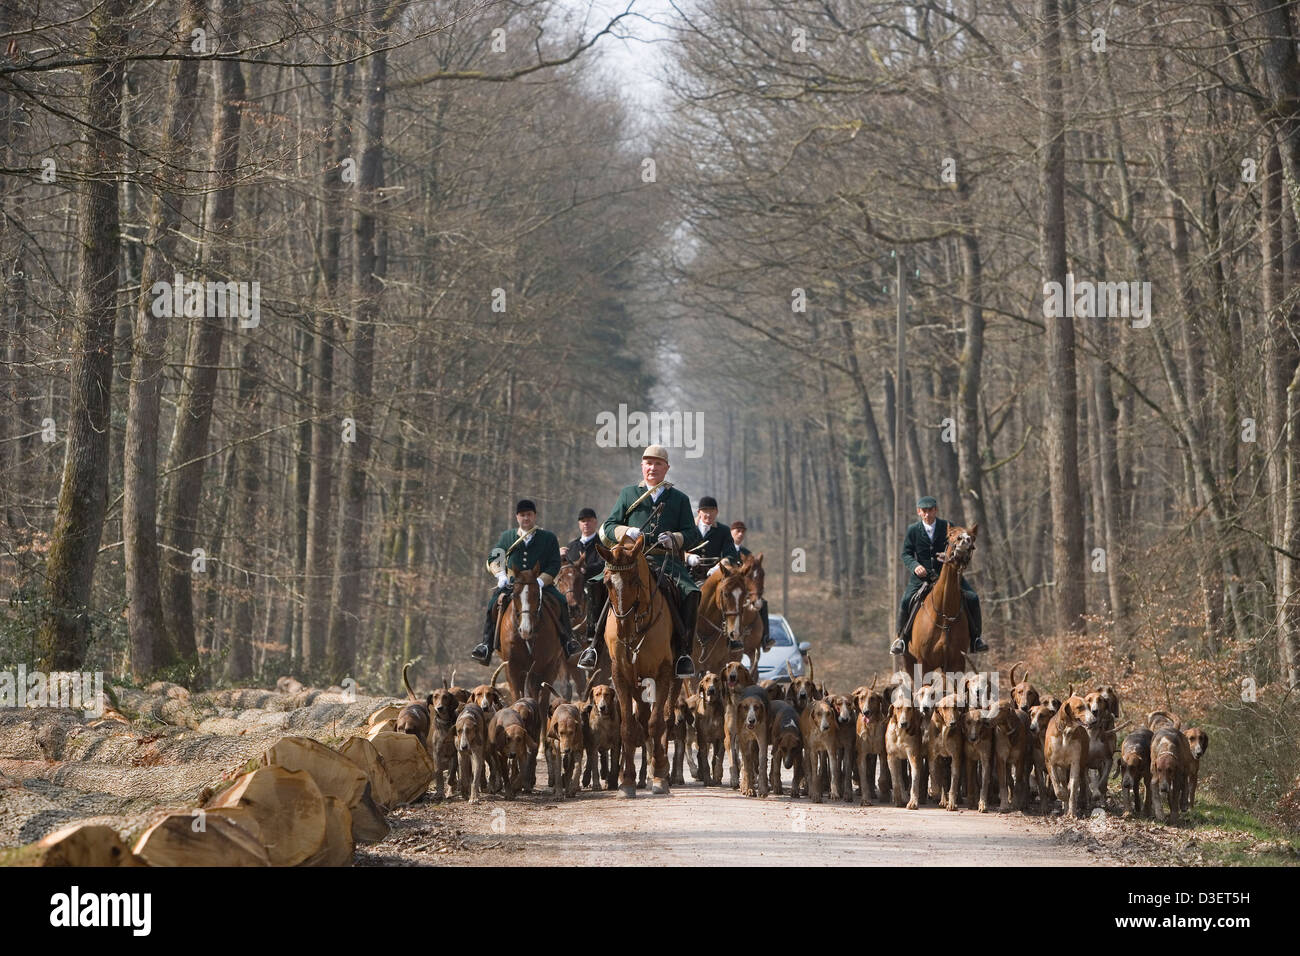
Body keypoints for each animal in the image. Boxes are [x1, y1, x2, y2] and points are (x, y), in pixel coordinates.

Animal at [595, 535, 676, 796]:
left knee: (664, 718)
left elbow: (656, 723)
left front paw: (659, 776)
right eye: (608, 582)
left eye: (634, 580)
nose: (623, 629)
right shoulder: (621, 676)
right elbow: (628, 727)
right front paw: (627, 781)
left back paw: (661, 768)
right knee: (641, 716)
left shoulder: (663, 673)